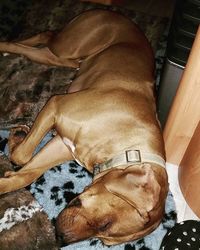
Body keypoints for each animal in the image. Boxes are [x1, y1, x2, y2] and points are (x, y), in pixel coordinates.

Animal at [0, 10, 169, 246]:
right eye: (105, 224)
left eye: (104, 240)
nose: (60, 239)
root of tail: (109, 12)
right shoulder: (55, 105)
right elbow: (22, 156)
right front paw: (17, 143)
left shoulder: (62, 145)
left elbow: (25, 173)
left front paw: (16, 143)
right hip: (69, 45)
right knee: (44, 37)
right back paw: (6, 46)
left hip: (64, 55)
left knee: (47, 42)